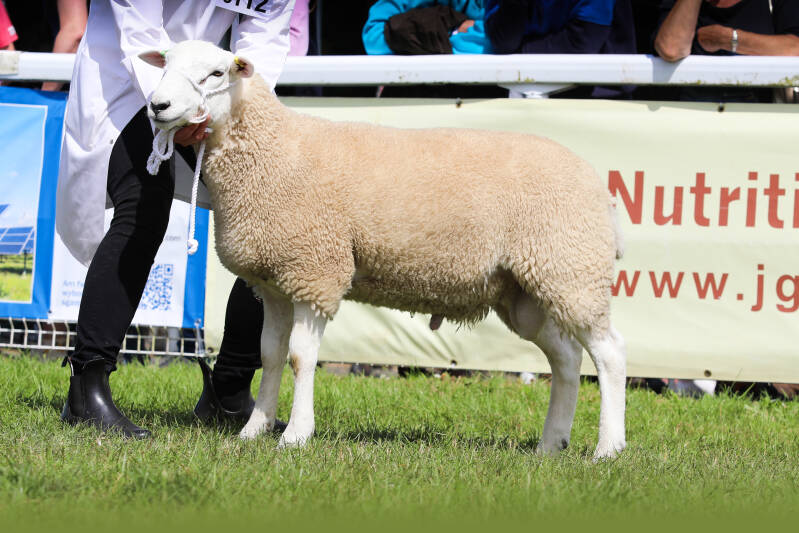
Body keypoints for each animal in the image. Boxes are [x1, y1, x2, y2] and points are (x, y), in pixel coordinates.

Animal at [140, 40, 627, 459]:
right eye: (165, 65)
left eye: (216, 73)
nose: (157, 106)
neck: (273, 152)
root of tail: (597, 184)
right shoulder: (276, 283)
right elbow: (271, 355)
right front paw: (253, 430)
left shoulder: (316, 271)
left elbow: (300, 357)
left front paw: (296, 434)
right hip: (528, 290)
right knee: (566, 359)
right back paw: (551, 444)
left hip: (570, 269)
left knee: (609, 355)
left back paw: (608, 448)